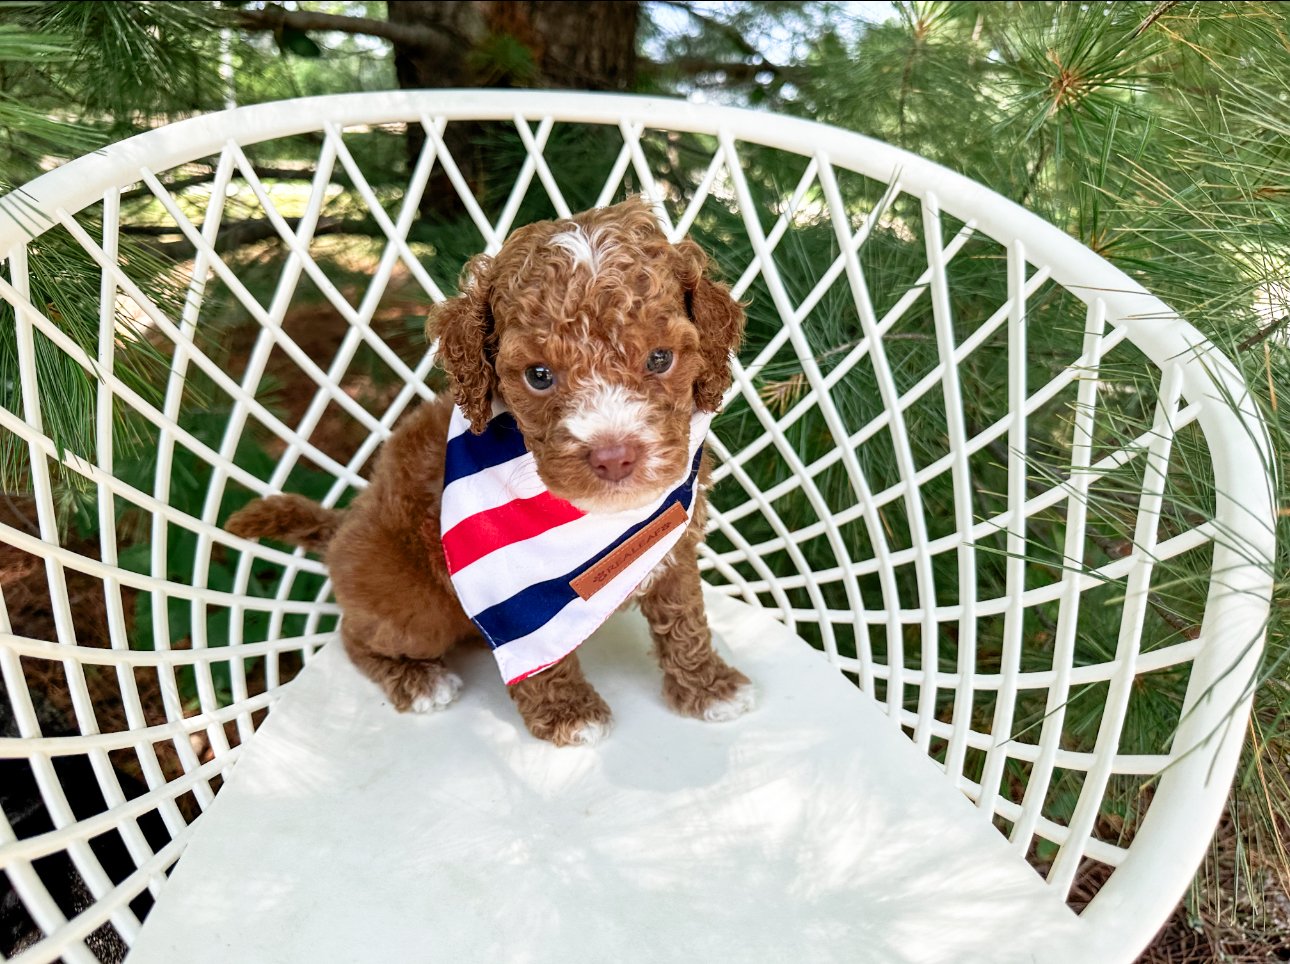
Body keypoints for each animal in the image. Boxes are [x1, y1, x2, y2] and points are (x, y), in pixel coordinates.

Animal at [228, 196, 753, 748]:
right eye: (539, 376)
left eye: (660, 358)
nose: (613, 457)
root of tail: (343, 524)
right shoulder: (516, 597)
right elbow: (540, 658)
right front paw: (570, 713)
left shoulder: (674, 542)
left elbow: (686, 619)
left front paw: (709, 687)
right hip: (414, 608)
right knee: (357, 636)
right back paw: (418, 681)